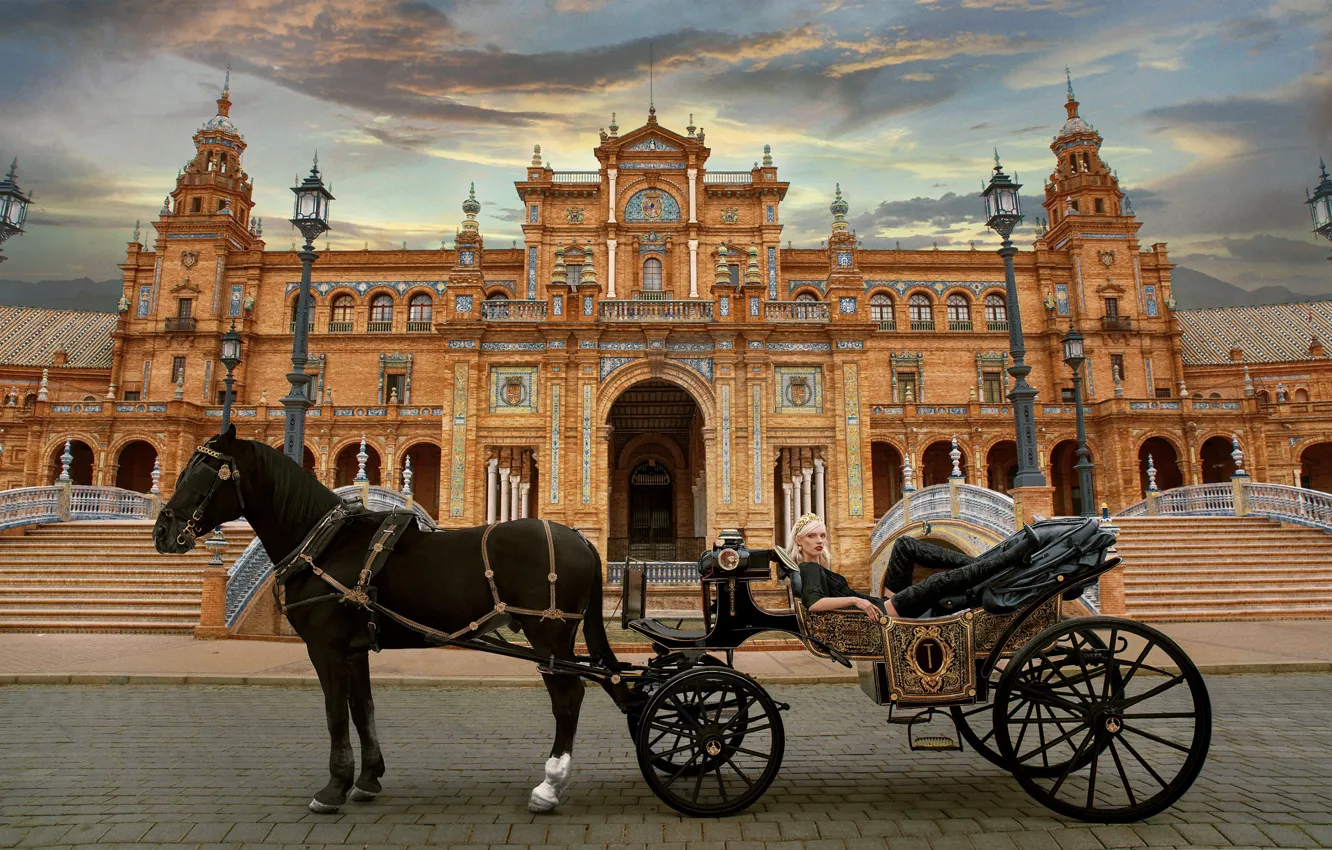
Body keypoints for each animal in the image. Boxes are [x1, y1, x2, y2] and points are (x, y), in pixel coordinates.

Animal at [152, 425, 622, 814]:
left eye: (202, 475)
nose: (161, 532)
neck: (324, 541)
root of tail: (579, 537)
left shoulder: (325, 646)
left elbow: (335, 713)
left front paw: (332, 789)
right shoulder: (355, 649)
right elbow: (363, 709)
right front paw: (367, 779)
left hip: (549, 635)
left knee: (569, 697)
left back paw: (549, 786)